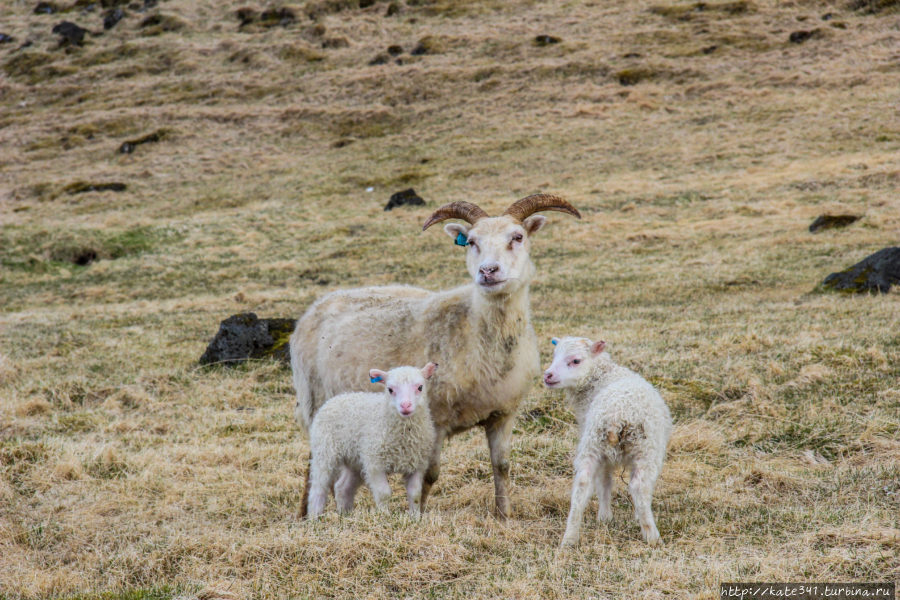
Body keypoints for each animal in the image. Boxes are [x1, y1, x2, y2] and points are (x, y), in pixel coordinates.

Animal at [304, 364, 438, 516]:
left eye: (420, 387)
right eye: (390, 389)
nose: (405, 406)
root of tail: (335, 399)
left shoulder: (418, 464)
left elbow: (415, 494)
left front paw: (415, 517)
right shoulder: (375, 463)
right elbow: (383, 493)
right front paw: (385, 516)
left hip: (356, 461)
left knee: (342, 487)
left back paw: (345, 515)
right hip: (324, 451)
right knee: (318, 488)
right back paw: (315, 516)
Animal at [540, 336, 668, 548]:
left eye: (576, 361)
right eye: (555, 356)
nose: (548, 375)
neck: (602, 377)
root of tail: (617, 414)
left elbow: (604, 483)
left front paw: (607, 518)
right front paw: (624, 516)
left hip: (593, 444)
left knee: (582, 484)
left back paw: (570, 537)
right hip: (645, 449)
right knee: (639, 486)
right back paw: (651, 536)